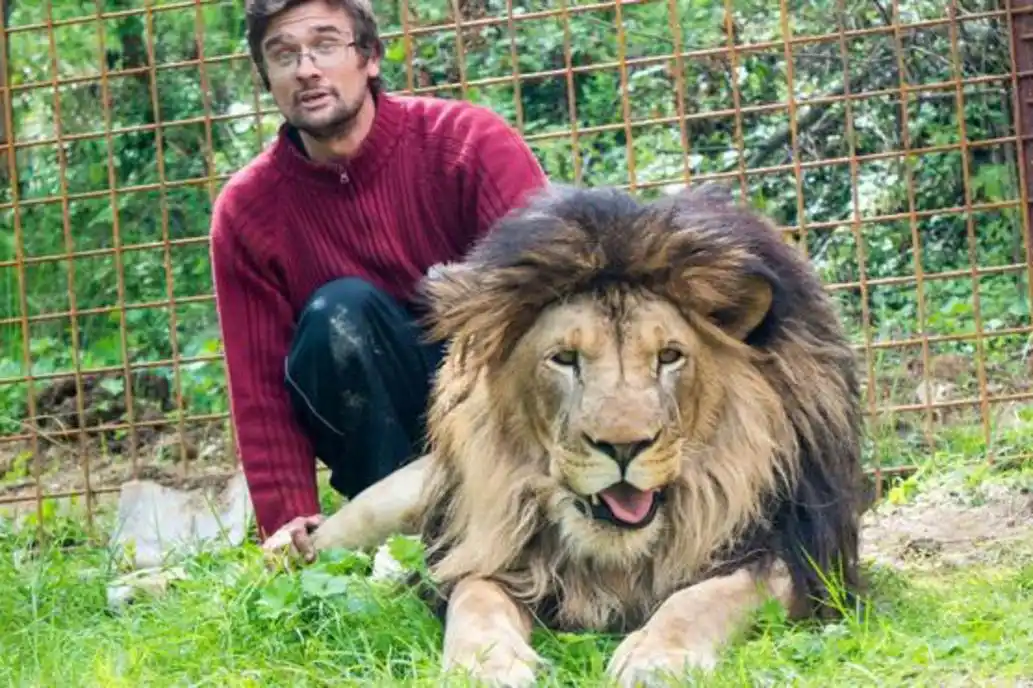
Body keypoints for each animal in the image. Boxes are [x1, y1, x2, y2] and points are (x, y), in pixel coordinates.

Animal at [300, 183, 866, 687]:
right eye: (565, 359)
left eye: (669, 356)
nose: (624, 446)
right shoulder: (490, 547)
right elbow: (474, 597)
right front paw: (487, 666)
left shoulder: (799, 557)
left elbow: (704, 597)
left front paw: (656, 659)